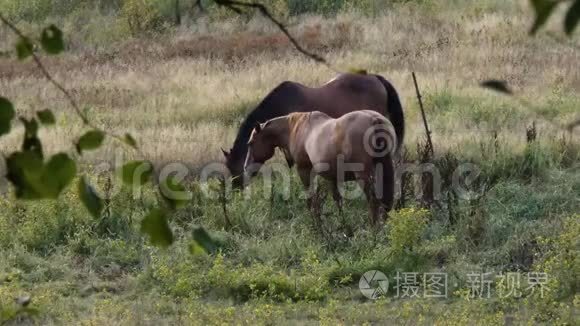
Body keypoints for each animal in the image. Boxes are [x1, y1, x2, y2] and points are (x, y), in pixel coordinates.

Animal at [242, 109, 396, 224]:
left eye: (250, 143)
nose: (246, 168)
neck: (296, 129)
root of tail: (374, 120)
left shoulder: (304, 171)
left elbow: (311, 200)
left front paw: (316, 224)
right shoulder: (333, 177)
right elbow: (338, 201)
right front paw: (343, 225)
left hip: (363, 176)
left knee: (373, 201)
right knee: (385, 201)